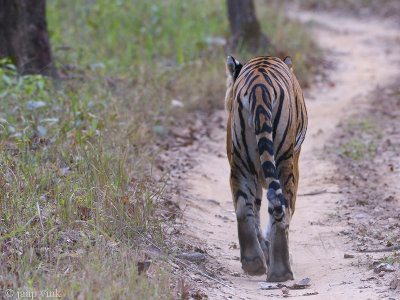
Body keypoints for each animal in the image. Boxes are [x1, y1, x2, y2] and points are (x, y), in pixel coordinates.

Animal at [225, 55, 310, 282]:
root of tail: (259, 87)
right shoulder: (294, 162)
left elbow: (255, 211)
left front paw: (264, 251)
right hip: (284, 163)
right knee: (280, 210)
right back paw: (281, 270)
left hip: (240, 162)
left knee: (243, 208)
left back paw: (254, 263)